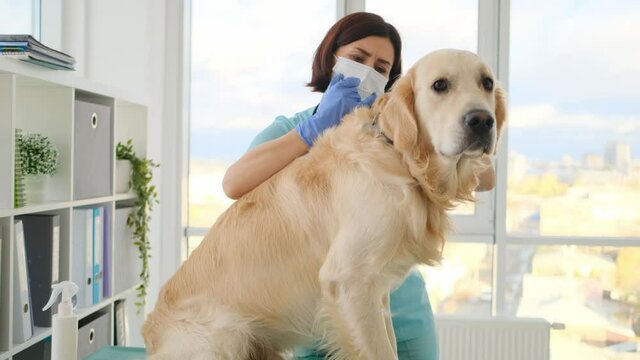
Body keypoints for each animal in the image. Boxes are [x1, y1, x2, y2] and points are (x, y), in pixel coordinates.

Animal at [144, 50, 504, 360]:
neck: (399, 156)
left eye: (487, 83)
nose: (482, 121)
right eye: (440, 85)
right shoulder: (349, 282)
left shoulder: (376, 292)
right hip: (226, 337)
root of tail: (150, 335)